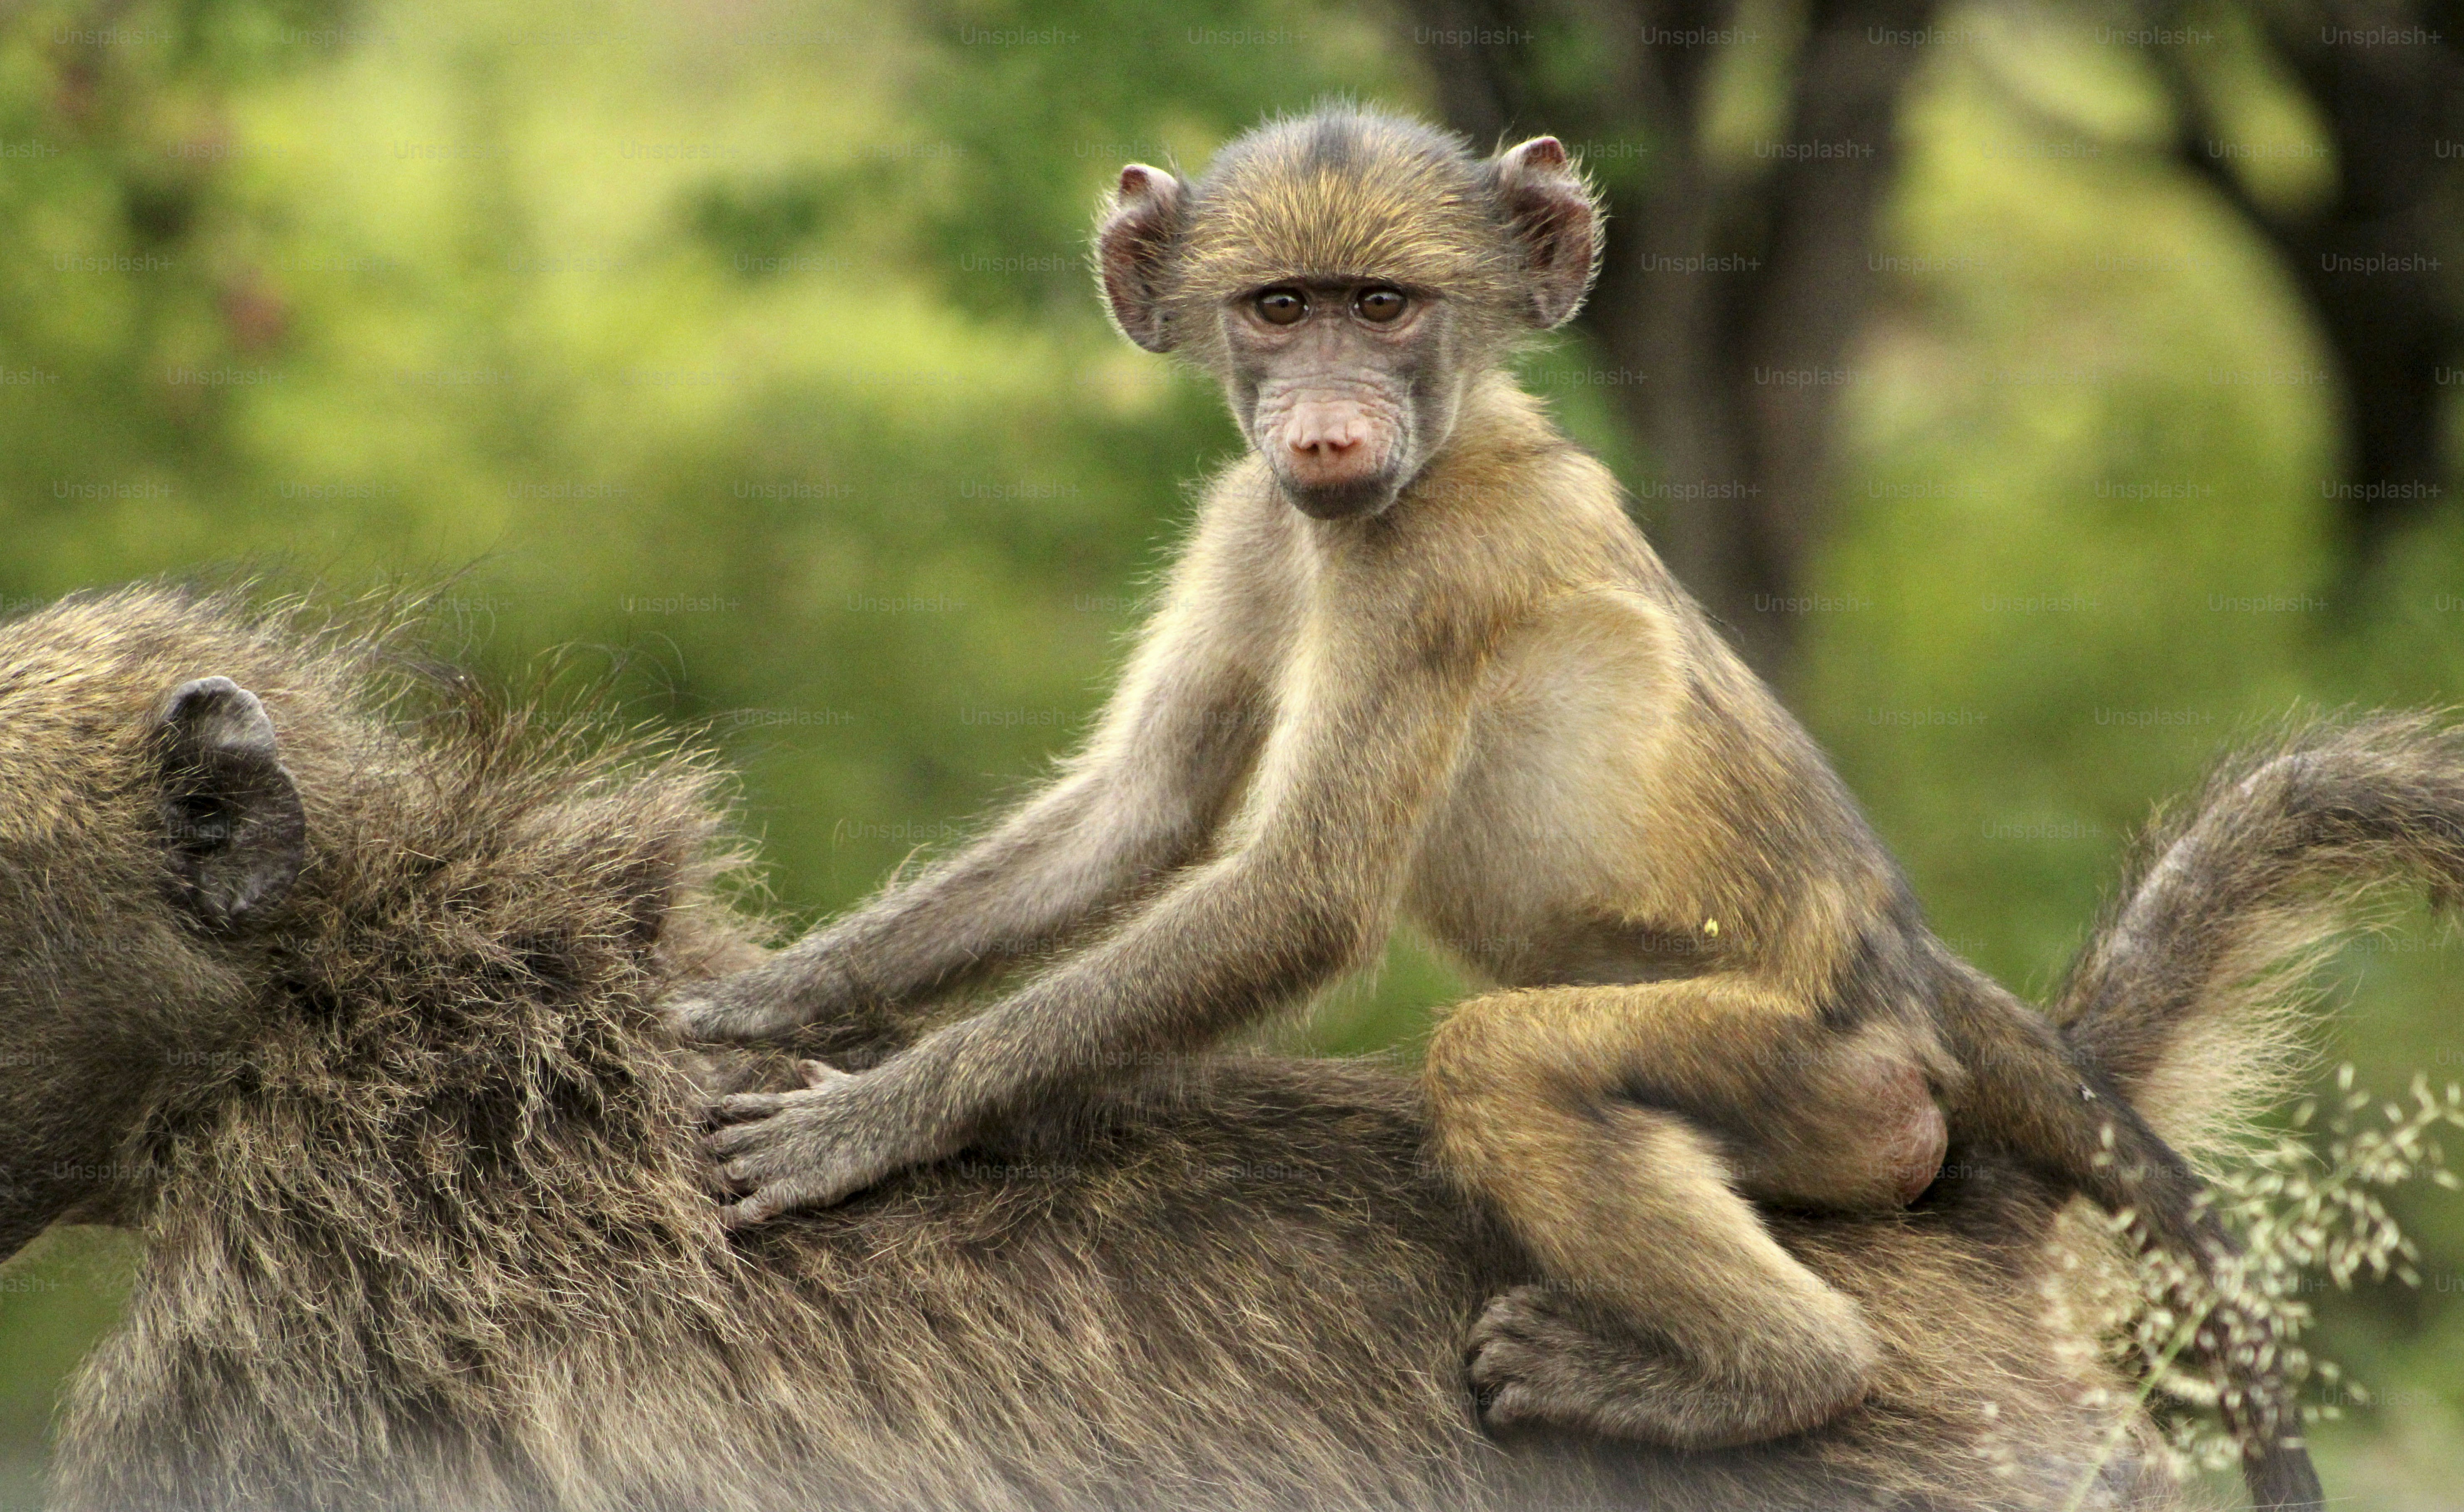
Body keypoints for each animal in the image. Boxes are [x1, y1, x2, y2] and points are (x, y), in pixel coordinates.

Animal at [660, 108, 2320, 1506]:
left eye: (1384, 307)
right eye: (1281, 308)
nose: (1326, 427)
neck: (1436, 446)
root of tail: (1902, 975)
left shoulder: (1427, 574)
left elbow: (1298, 896)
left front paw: (871, 1119)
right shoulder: (1254, 514)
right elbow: (1143, 807)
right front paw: (756, 1000)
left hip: (1816, 1076)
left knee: (1508, 1060)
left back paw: (1773, 1373)